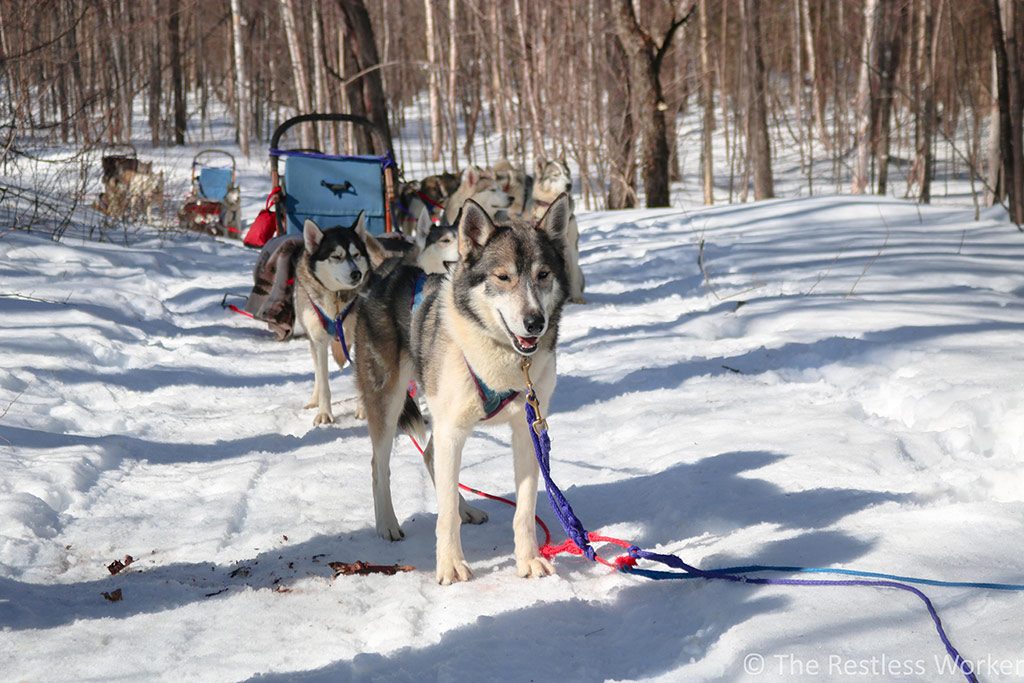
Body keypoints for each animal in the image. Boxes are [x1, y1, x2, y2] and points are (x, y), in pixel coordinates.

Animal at [294, 214, 385, 428]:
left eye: (356, 254)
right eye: (336, 256)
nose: (356, 273)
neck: (336, 302)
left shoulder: (360, 339)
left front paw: (363, 410)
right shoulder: (318, 341)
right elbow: (323, 381)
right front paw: (324, 414)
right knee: (318, 374)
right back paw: (314, 400)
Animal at [356, 194, 573, 585]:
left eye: (543, 275)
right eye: (503, 277)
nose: (535, 322)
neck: (503, 357)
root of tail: (388, 271)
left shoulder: (526, 430)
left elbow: (524, 508)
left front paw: (528, 559)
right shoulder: (452, 429)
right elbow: (444, 516)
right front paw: (450, 565)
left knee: (430, 456)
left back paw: (466, 508)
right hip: (389, 401)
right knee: (380, 464)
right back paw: (388, 524)